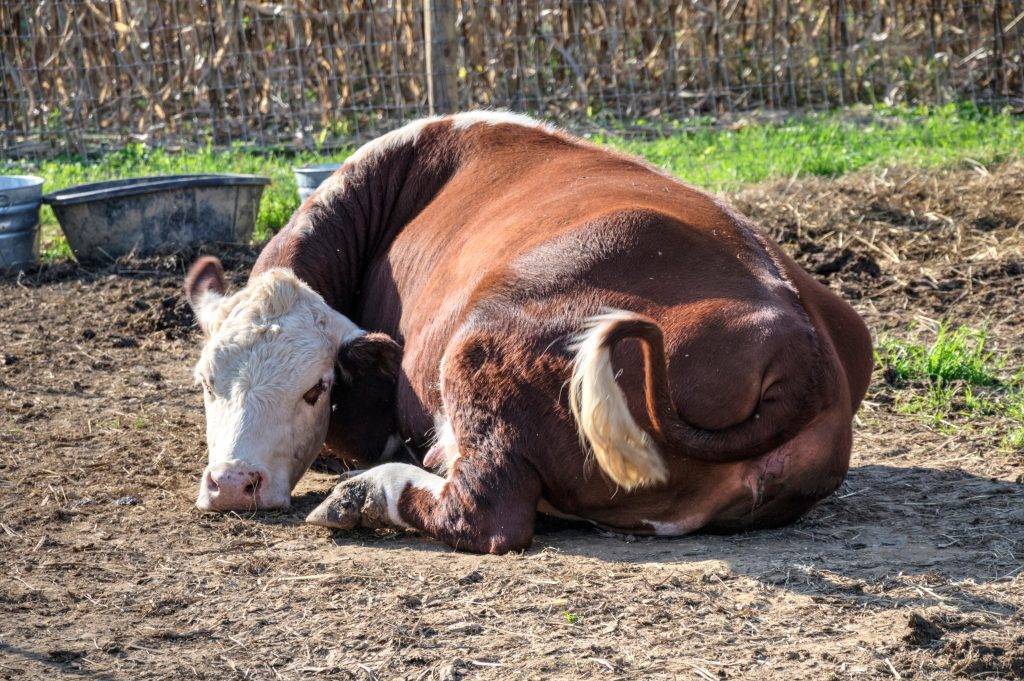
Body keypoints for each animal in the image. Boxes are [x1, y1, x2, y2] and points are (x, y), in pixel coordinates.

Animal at [186, 111, 872, 557]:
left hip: (481, 345)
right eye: (207, 383)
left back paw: (361, 497)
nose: (233, 485)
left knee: (484, 513)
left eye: (316, 388)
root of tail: (801, 344)